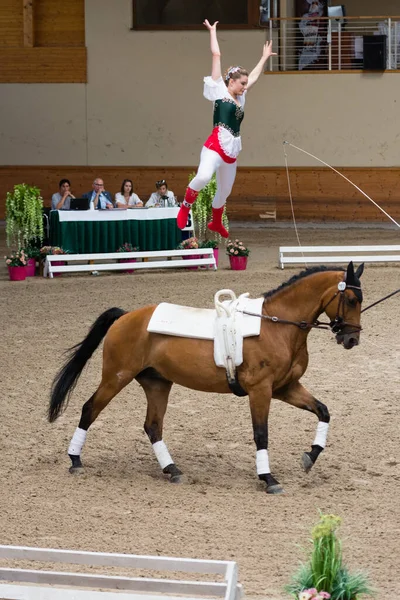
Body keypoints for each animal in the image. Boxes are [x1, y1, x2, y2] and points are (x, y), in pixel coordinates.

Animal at [48, 262, 364, 492]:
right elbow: (261, 433)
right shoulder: (261, 390)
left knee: (153, 426)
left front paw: (310, 457)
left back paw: (172, 470)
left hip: (157, 383)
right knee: (90, 409)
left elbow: (323, 411)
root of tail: (125, 316)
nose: (351, 340)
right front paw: (269, 479)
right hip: (116, 376)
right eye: (350, 299)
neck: (278, 326)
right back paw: (75, 460)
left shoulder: (285, 388)